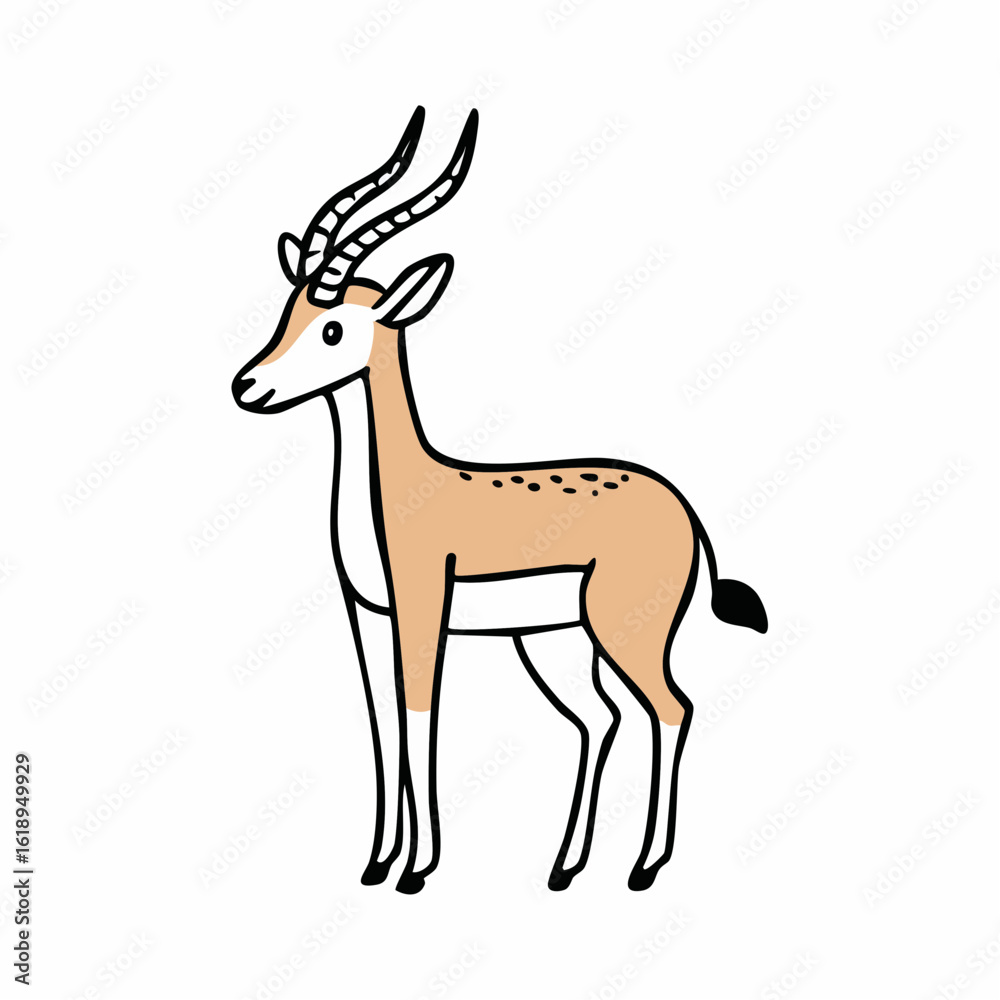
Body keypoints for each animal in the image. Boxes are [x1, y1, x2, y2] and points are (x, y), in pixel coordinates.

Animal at [232, 107, 767, 894]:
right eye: (288, 310)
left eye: (333, 327)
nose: (248, 386)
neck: (403, 490)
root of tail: (686, 511)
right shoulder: (367, 612)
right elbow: (382, 723)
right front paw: (376, 863)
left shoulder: (424, 605)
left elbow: (420, 714)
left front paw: (417, 869)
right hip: (556, 640)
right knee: (601, 719)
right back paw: (565, 867)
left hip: (624, 631)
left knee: (673, 709)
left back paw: (643, 868)